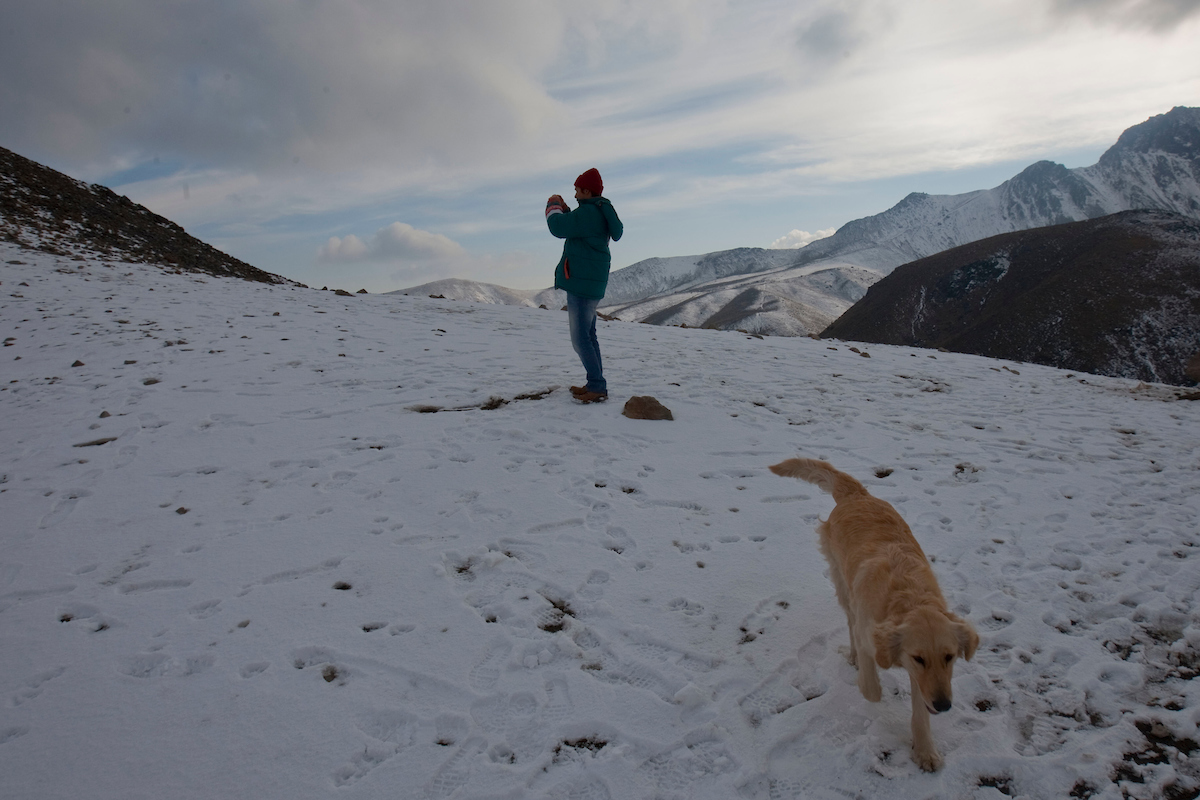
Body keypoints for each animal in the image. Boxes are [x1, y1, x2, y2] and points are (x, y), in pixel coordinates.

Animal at [768, 460, 974, 772]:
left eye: (949, 657)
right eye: (919, 658)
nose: (943, 706)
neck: (908, 598)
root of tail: (857, 495)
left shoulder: (925, 679)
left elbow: (920, 713)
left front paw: (925, 751)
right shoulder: (876, 641)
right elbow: (871, 688)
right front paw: (870, 687)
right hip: (843, 584)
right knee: (850, 622)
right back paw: (853, 657)